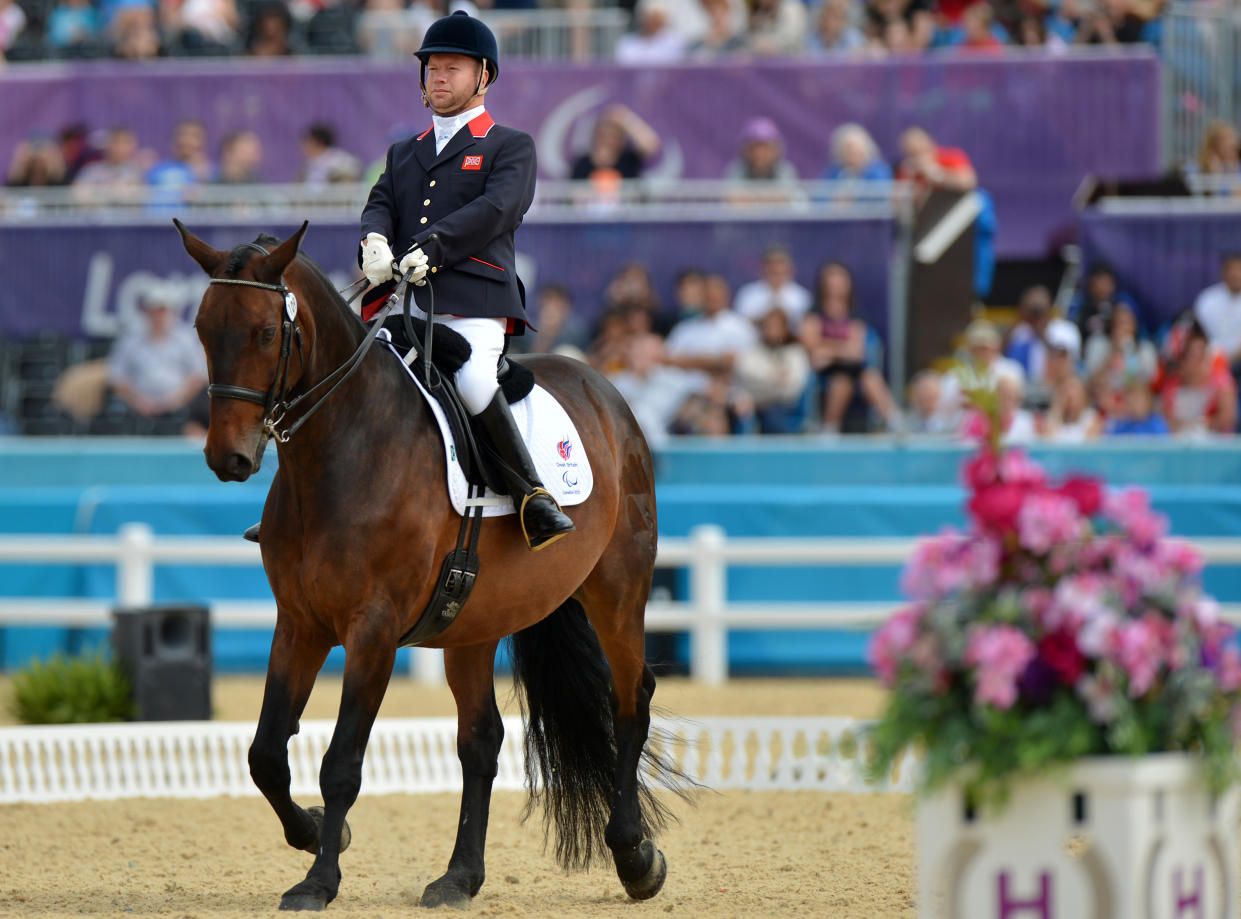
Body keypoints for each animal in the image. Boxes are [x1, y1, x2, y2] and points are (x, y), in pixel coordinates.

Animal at [172, 221, 680, 912]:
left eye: (266, 333)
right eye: (203, 328)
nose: (228, 458)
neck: (343, 448)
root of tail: (605, 393)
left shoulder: (374, 631)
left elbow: (341, 764)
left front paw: (318, 882)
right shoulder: (300, 623)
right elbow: (266, 754)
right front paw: (315, 835)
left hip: (618, 591)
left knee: (629, 701)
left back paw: (634, 858)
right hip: (473, 621)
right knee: (482, 740)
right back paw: (460, 877)